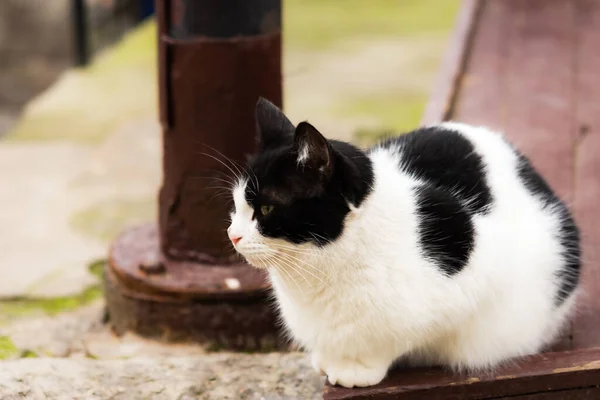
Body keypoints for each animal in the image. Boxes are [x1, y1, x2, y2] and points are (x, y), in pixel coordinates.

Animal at [227, 98, 580, 390]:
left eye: (266, 209)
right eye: (236, 205)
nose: (233, 234)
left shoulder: (475, 274)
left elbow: (396, 339)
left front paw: (356, 369)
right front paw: (327, 360)